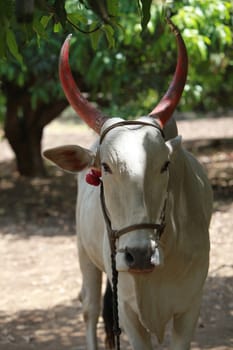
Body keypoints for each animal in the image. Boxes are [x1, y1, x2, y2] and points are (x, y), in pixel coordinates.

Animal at [43, 19, 213, 350]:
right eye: (105, 168)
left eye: (164, 165)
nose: (140, 254)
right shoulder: (130, 313)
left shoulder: (190, 307)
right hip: (85, 255)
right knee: (90, 308)